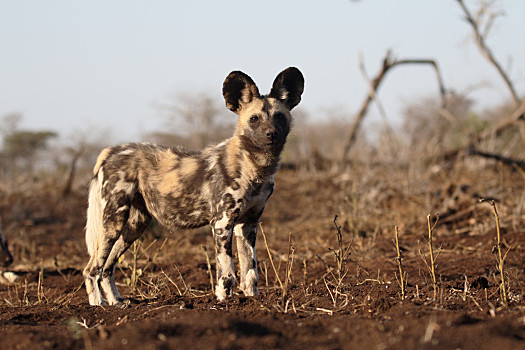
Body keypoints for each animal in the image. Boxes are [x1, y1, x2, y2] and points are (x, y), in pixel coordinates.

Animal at [82, 67, 302, 304]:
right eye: (254, 119)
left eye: (279, 116)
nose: (271, 134)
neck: (254, 167)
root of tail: (110, 151)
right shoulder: (222, 223)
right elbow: (227, 273)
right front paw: (224, 301)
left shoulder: (248, 225)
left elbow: (250, 271)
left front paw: (253, 299)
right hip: (113, 220)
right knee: (92, 269)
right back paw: (98, 306)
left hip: (134, 225)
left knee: (107, 267)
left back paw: (117, 303)